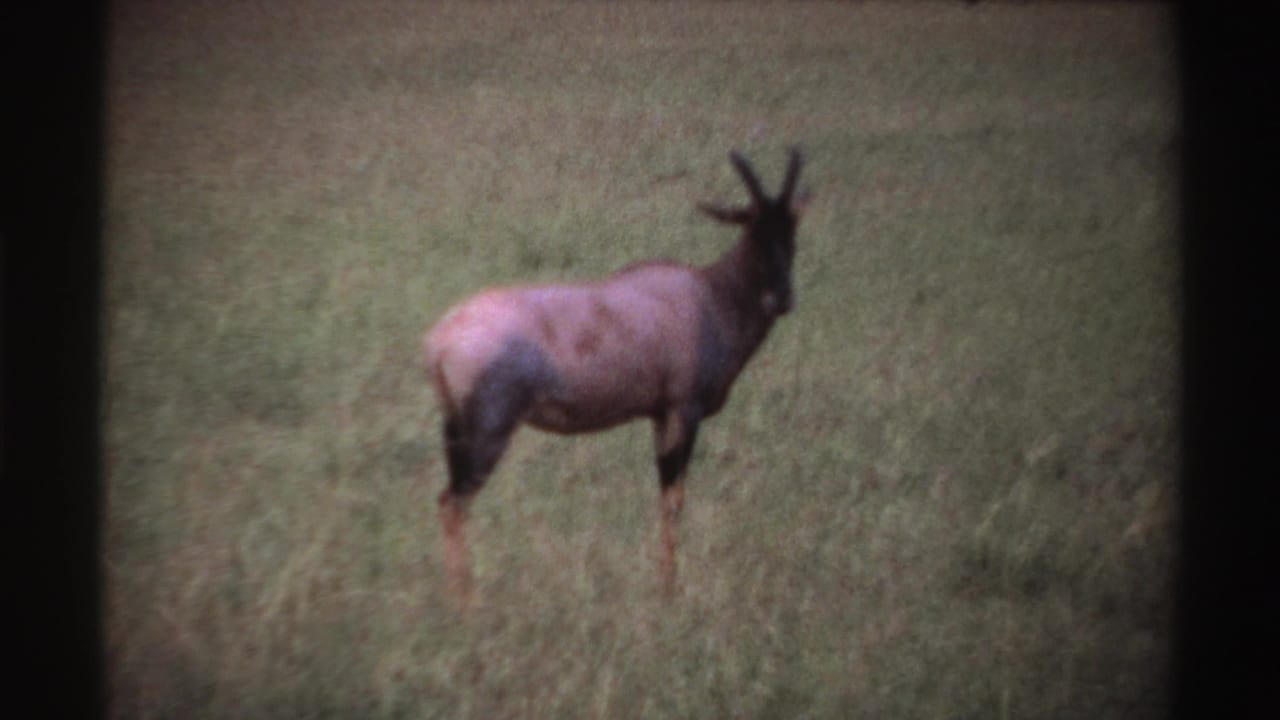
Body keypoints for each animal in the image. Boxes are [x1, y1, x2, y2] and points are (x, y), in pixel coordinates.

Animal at [424, 148, 809, 598]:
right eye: (752, 229)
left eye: (791, 231)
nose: (781, 298)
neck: (707, 296)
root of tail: (440, 339)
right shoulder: (684, 410)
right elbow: (674, 499)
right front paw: (668, 591)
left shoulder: (660, 414)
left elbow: (666, 496)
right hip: (489, 432)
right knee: (454, 504)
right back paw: (466, 603)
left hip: (455, 431)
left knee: (447, 502)